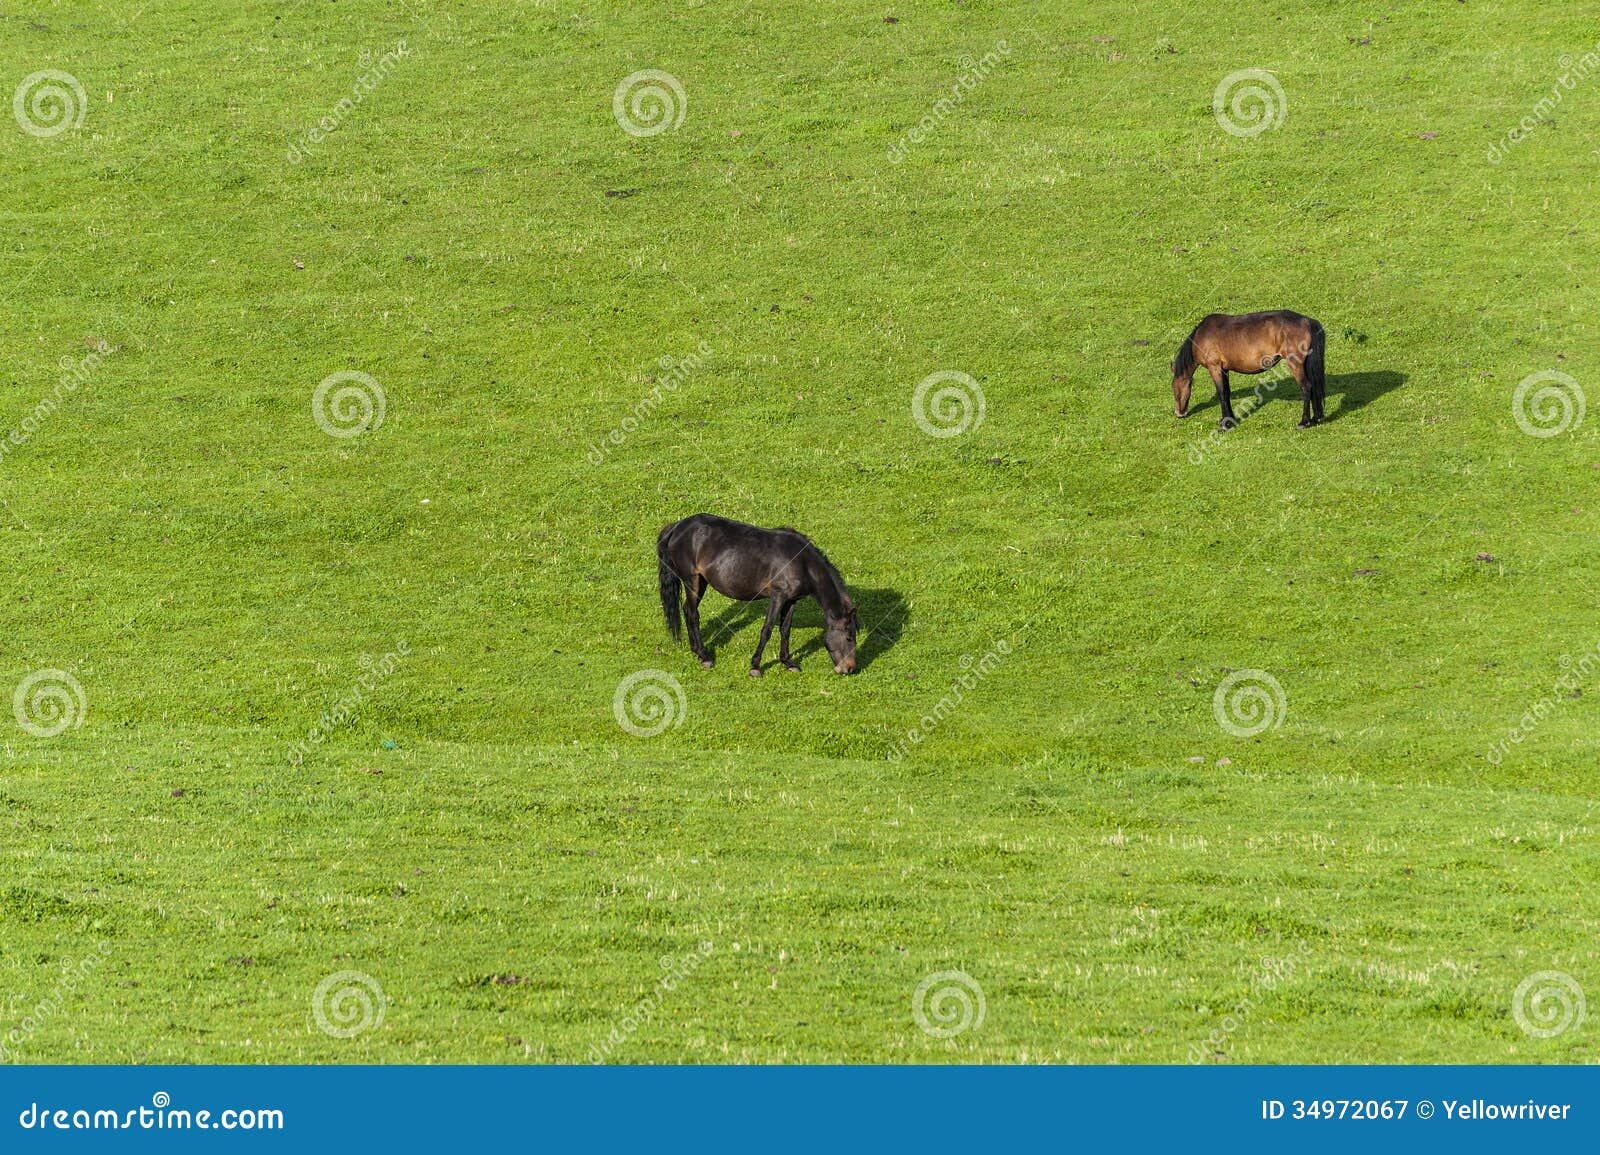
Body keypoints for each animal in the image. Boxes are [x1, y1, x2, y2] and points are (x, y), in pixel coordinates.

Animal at [657, 514, 859, 676]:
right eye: (849, 637)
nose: (849, 668)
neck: (802, 563)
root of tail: (678, 526)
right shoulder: (778, 597)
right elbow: (767, 630)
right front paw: (755, 666)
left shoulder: (792, 600)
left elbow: (785, 630)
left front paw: (788, 662)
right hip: (692, 580)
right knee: (693, 613)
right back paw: (704, 656)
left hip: (701, 582)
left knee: (687, 609)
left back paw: (695, 651)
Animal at [1171, 310, 1326, 430]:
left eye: (1175, 390)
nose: (1179, 413)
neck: (1201, 336)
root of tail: (1307, 321)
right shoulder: (1224, 370)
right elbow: (1226, 393)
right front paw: (1230, 420)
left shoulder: (1214, 368)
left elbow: (1221, 393)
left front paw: (1224, 425)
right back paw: (1315, 418)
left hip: (1295, 364)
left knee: (1306, 388)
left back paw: (1304, 422)